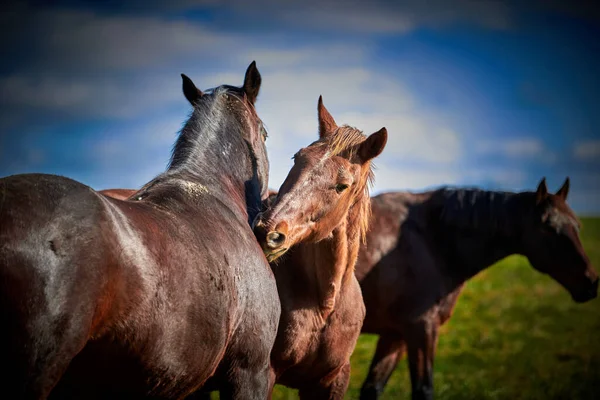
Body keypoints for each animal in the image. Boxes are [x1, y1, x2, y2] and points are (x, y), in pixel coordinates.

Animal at [253, 97, 390, 400]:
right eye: (297, 158)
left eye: (342, 185)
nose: (267, 232)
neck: (324, 305)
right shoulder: (263, 375)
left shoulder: (333, 380)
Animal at [354, 179, 596, 400]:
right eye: (548, 228)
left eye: (577, 225)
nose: (592, 282)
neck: (433, 241)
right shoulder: (422, 328)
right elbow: (423, 390)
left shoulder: (395, 334)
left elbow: (372, 388)